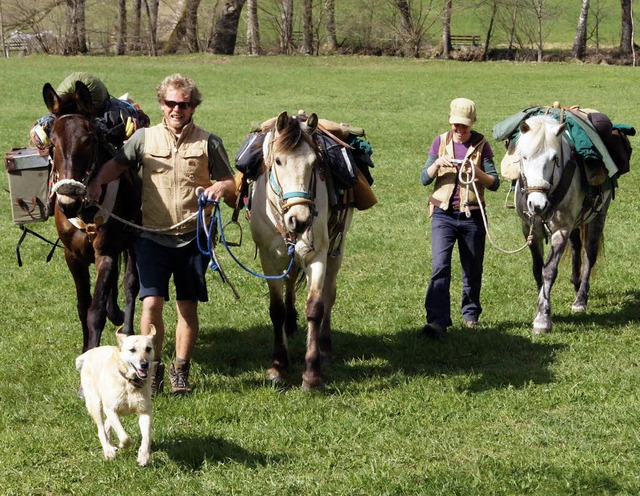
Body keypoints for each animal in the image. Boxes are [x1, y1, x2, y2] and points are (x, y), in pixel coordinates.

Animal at [43, 81, 141, 350]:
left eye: (88, 140)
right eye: (53, 142)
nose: (68, 201)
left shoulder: (106, 253)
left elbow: (95, 311)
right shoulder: (72, 257)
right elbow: (82, 306)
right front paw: (85, 349)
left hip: (133, 242)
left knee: (130, 284)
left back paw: (127, 328)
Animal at [76, 326, 156, 464]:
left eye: (148, 348)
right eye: (132, 350)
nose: (144, 364)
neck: (129, 382)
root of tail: (90, 352)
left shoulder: (145, 411)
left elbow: (147, 436)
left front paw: (143, 456)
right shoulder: (111, 409)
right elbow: (125, 437)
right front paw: (122, 445)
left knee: (107, 425)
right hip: (95, 404)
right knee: (101, 429)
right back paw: (108, 451)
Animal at [248, 111, 352, 388]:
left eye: (315, 163)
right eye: (278, 160)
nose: (300, 219)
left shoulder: (317, 254)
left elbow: (316, 307)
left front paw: (312, 373)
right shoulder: (269, 258)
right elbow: (276, 310)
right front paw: (277, 367)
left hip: (337, 248)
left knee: (329, 294)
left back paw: (325, 347)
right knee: (291, 279)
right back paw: (291, 323)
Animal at [516, 114, 608, 336]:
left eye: (554, 159)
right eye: (524, 157)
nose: (537, 205)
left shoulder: (561, 230)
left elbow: (549, 271)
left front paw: (543, 319)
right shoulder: (529, 230)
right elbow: (537, 269)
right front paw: (542, 307)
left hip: (598, 216)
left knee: (589, 255)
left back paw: (580, 299)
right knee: (576, 247)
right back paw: (575, 282)